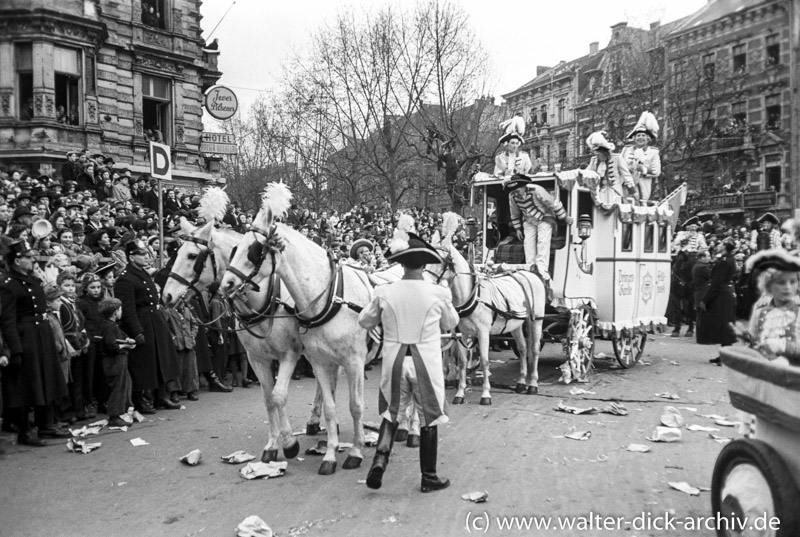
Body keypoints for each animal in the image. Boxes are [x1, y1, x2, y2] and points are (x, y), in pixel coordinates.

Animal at [162, 217, 316, 460]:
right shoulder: (256, 359)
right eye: (176, 253)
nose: (166, 295)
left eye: (192, 256)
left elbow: (278, 396)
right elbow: (268, 398)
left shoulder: (289, 354)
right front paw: (273, 444)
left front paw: (290, 443)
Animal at [217, 183, 370, 474]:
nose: (226, 284)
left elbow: (356, 406)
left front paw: (356, 452)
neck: (330, 298)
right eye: (234, 249)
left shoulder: (352, 361)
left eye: (254, 250)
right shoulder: (318, 361)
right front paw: (329, 455)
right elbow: (329, 406)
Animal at [428, 211, 548, 404]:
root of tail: (530, 272)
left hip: (535, 320)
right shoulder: (464, 333)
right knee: (523, 348)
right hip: (515, 323)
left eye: (441, 261)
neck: (471, 296)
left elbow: (484, 361)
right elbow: (462, 362)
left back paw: (533, 384)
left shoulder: (483, 332)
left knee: (534, 350)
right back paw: (521, 382)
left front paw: (485, 394)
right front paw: (460, 393)